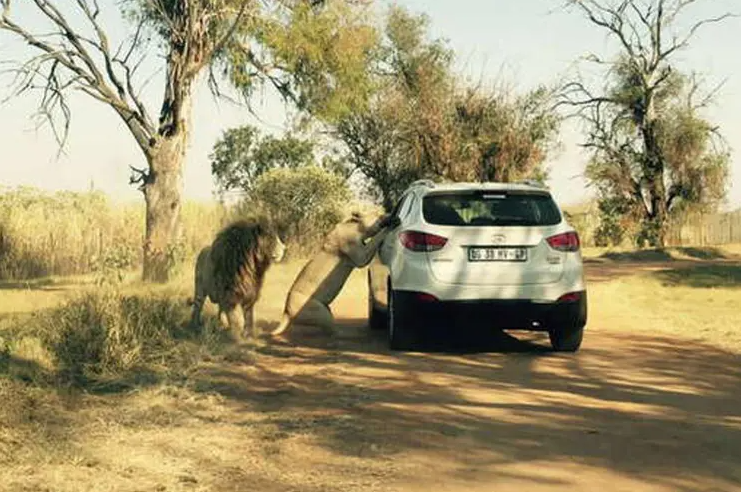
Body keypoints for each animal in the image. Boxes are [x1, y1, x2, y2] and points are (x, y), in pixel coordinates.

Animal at [272, 209, 398, 340]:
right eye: (378, 214)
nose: (390, 214)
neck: (357, 228)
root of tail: (286, 311)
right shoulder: (360, 256)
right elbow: (375, 240)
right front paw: (390, 226)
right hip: (318, 311)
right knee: (333, 332)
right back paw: (348, 335)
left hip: (325, 309)